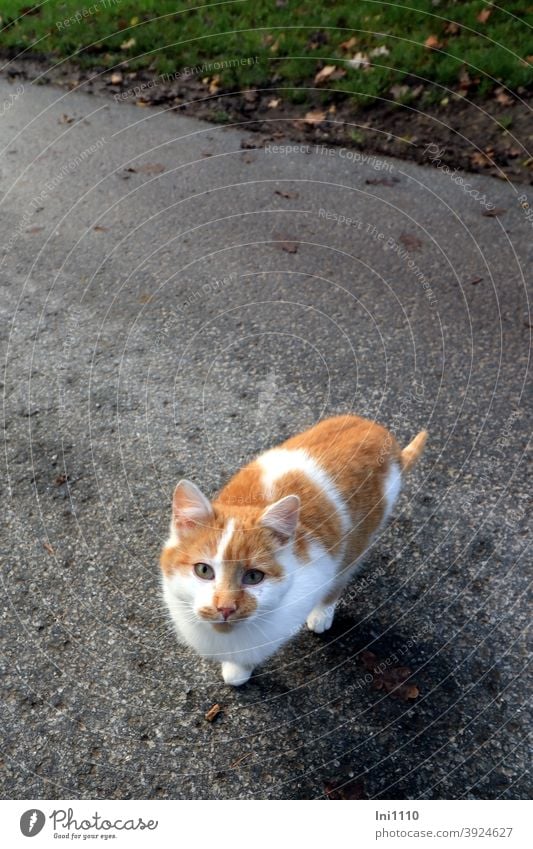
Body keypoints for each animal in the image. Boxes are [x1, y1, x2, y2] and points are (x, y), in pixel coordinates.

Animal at [160, 414, 426, 684]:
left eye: (254, 577)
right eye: (203, 570)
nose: (225, 607)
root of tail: (383, 435)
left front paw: (238, 671)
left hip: (357, 540)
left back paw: (322, 614)